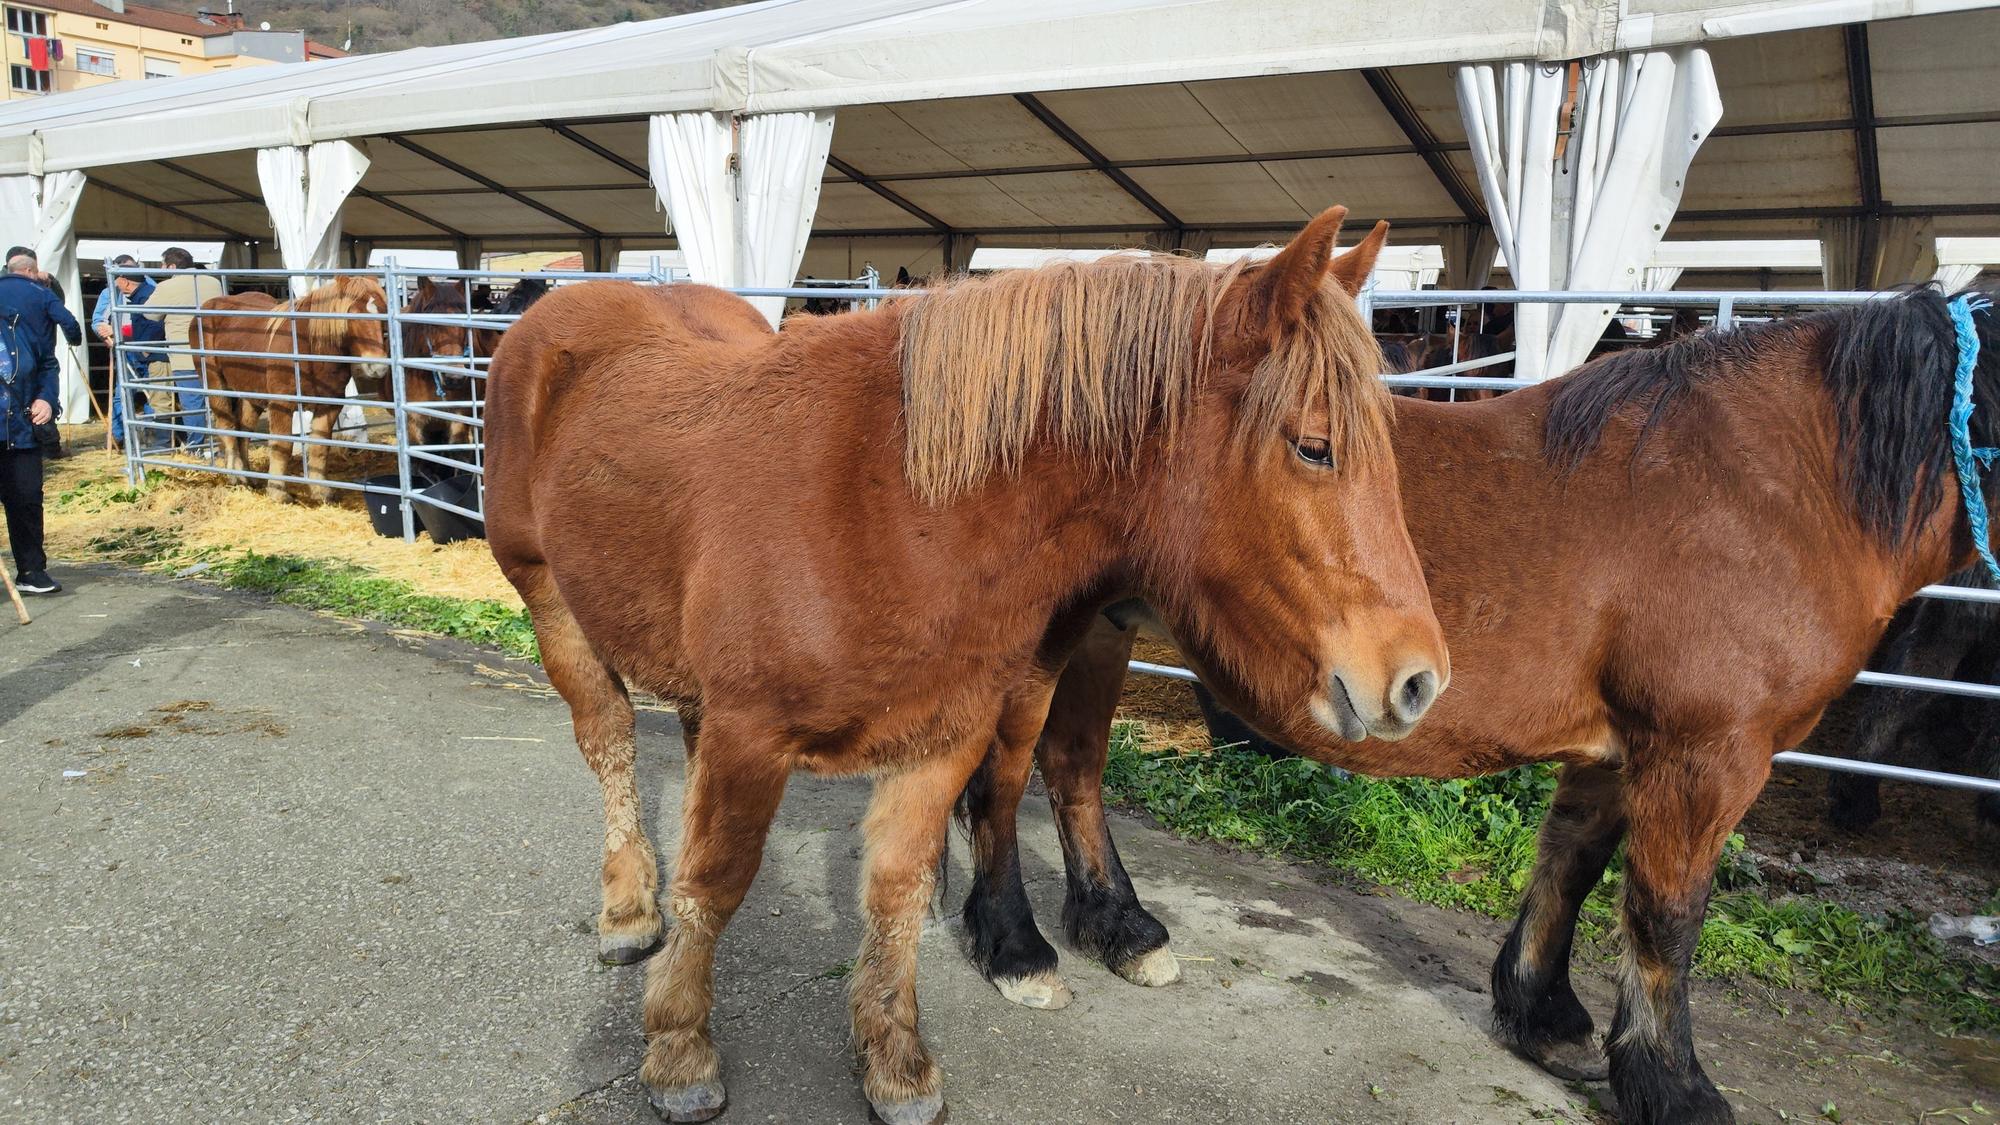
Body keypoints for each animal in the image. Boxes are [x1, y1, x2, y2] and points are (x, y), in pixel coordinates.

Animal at [197, 274, 392, 500]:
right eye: (352, 314)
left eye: (384, 312)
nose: (377, 367)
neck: (309, 349)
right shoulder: (282, 404)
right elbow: (281, 446)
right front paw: (277, 492)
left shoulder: (329, 407)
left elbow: (319, 446)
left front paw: (320, 491)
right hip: (216, 387)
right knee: (227, 428)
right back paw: (236, 477)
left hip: (249, 394)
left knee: (244, 430)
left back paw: (249, 477)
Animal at [486, 210, 1456, 1120]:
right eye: (1313, 446)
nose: (1419, 679)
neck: (894, 504)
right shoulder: (751, 733)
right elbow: (715, 883)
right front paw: (681, 1048)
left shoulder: (941, 737)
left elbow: (897, 890)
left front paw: (894, 1058)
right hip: (552, 605)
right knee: (610, 742)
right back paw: (629, 910)